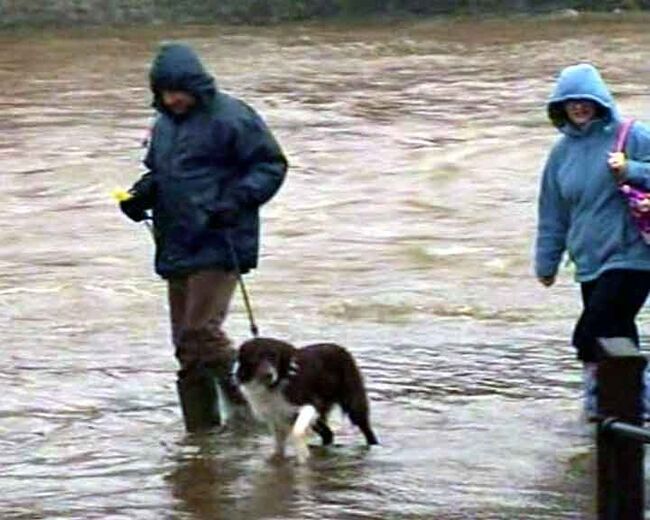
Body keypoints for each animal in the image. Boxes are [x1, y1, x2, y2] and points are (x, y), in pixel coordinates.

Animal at [232, 338, 374, 464]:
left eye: (274, 358)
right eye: (255, 357)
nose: (269, 375)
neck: (274, 386)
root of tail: (340, 348)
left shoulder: (311, 405)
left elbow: (297, 431)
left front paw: (303, 454)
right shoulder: (275, 417)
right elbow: (279, 447)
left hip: (353, 402)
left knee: (365, 428)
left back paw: (373, 446)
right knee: (328, 434)